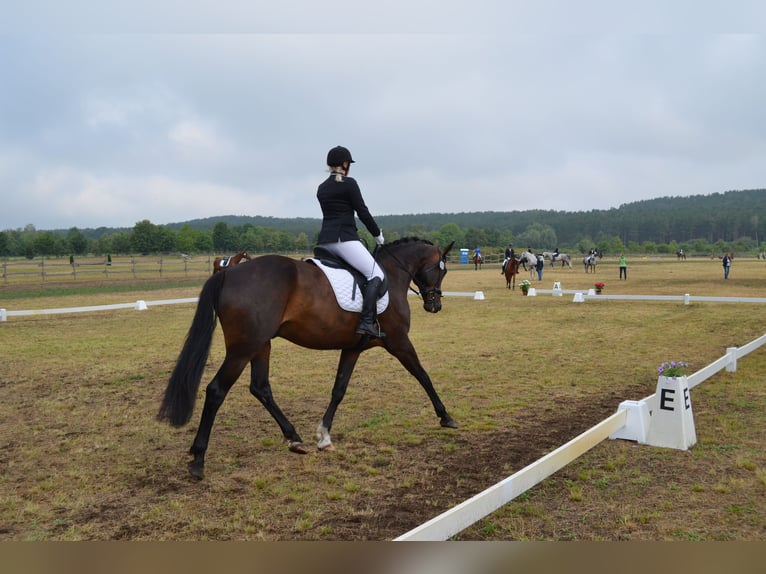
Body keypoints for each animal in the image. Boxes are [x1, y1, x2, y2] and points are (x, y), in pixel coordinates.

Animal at [156, 238, 456, 482]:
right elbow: (422, 375)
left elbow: (339, 389)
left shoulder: (352, 348)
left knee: (260, 388)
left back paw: (294, 439)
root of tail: (228, 272)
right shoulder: (398, 341)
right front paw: (446, 416)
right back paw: (198, 459)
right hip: (243, 349)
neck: (391, 276)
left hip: (261, 345)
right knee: (217, 390)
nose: (435, 305)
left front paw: (323, 436)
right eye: (441, 269)